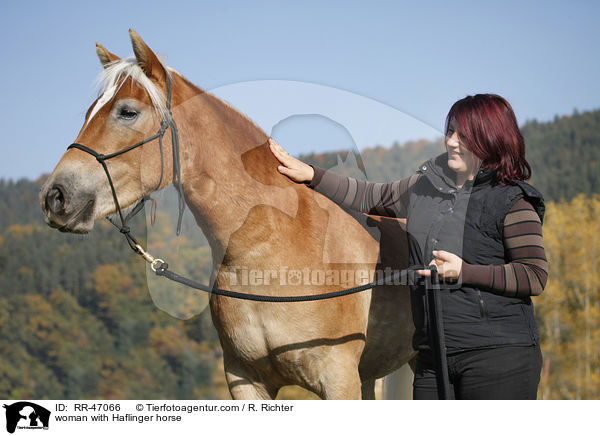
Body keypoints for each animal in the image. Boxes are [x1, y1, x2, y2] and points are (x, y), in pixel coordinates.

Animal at [38, 29, 418, 398]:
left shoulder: (338, 379)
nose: (55, 196)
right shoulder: (244, 379)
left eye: (127, 112)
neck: (272, 248)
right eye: (89, 112)